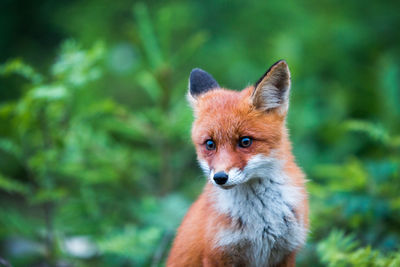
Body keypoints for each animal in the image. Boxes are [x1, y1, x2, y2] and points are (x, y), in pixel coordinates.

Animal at [167, 60, 308, 267]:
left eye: (245, 141)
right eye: (210, 144)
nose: (220, 177)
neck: (260, 223)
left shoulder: (287, 253)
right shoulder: (217, 256)